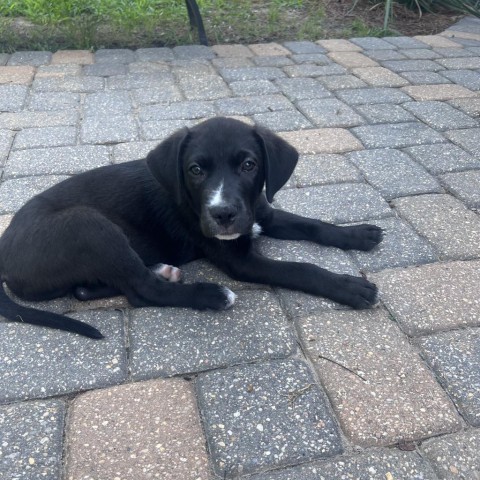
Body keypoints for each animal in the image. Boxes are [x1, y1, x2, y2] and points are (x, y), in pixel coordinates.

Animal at [0, 118, 382, 340]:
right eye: (195, 169)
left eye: (249, 165)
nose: (222, 213)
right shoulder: (240, 261)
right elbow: (301, 269)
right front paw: (349, 286)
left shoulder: (262, 212)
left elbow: (311, 224)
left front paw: (358, 234)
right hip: (89, 226)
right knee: (141, 291)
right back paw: (210, 295)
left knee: (90, 288)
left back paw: (162, 270)